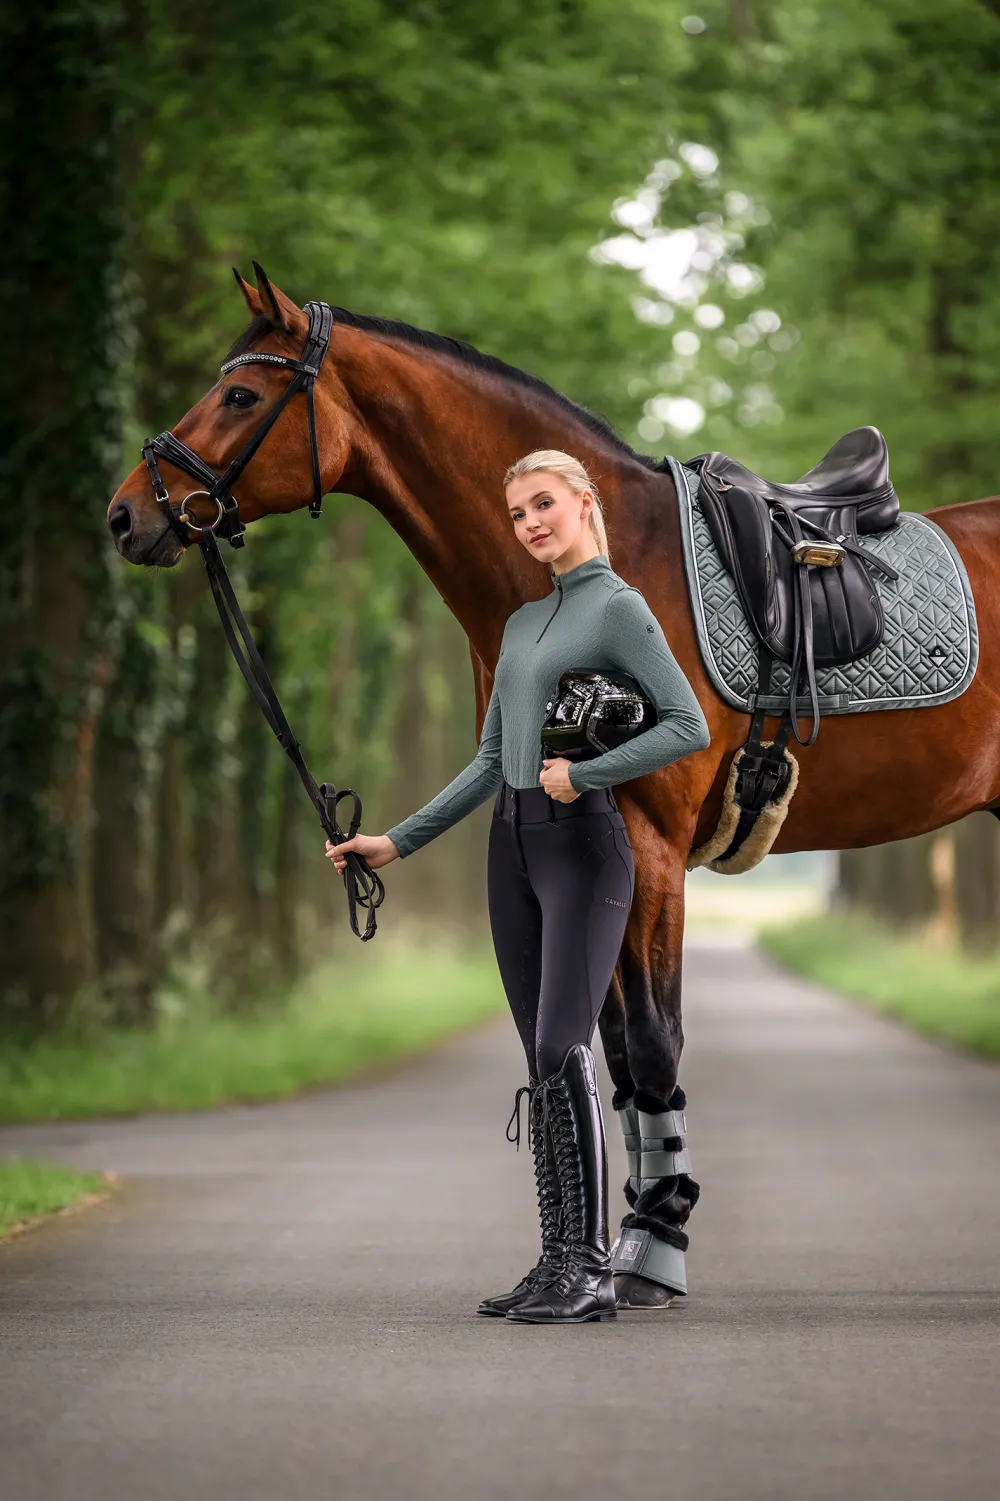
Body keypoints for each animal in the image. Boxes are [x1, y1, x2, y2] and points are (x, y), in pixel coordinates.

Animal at [107, 264, 1000, 1294]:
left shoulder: (650, 848)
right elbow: (604, 1046)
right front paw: (622, 1239)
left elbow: (652, 1039)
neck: (614, 561)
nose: (126, 514)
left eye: (243, 397)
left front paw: (654, 1247)